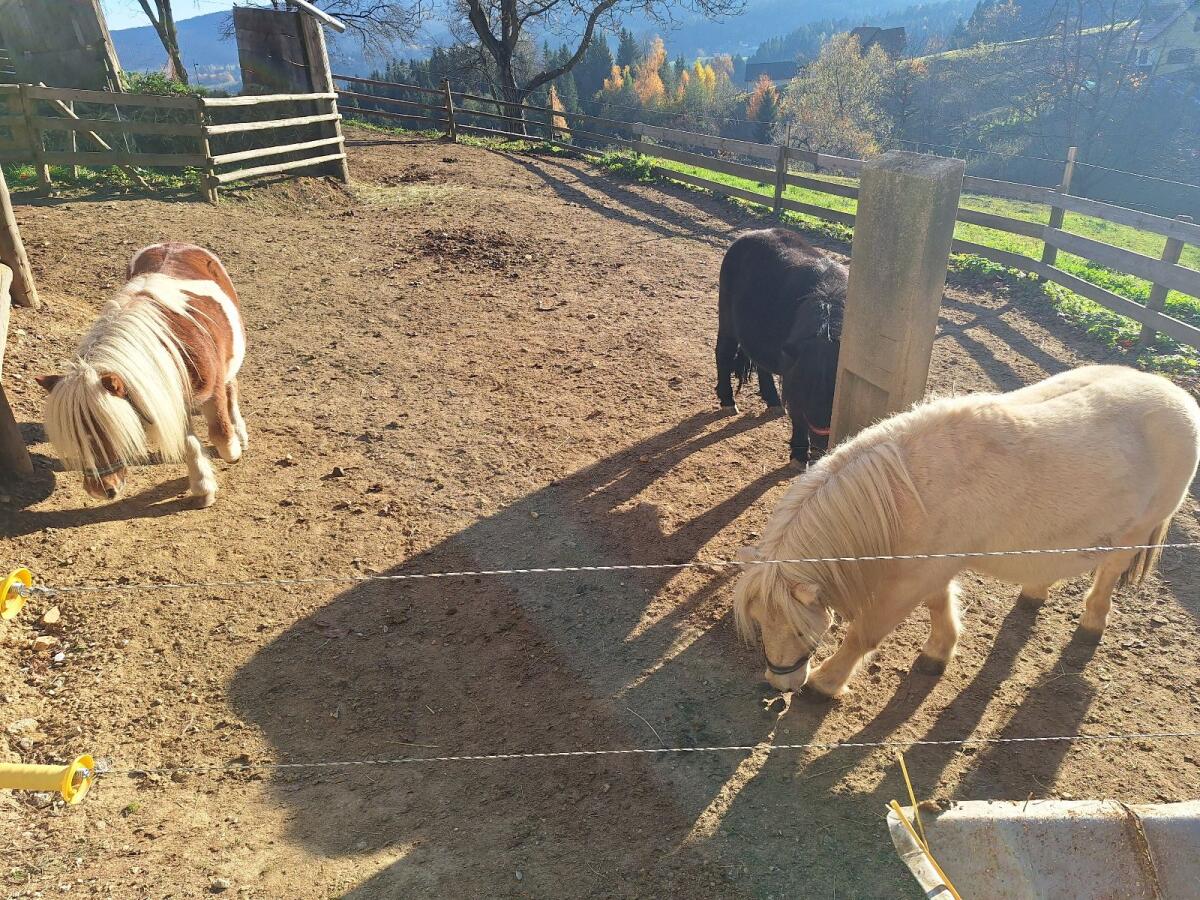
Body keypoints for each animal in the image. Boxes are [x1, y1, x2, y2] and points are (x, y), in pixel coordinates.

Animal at [36, 242, 247, 508]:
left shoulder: (212, 392)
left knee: (232, 386)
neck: (171, 347)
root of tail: (174, 243)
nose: (100, 490)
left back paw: (240, 433)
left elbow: (220, 434)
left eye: (107, 430)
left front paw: (232, 451)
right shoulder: (164, 399)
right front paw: (202, 487)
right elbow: (188, 442)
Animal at [715, 228, 845, 468]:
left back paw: (773, 400)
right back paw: (728, 401)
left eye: (836, 387)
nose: (821, 442)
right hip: (727, 320)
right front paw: (799, 456)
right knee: (723, 352)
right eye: (804, 386)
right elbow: (798, 415)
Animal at [732, 365, 1200, 699]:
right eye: (758, 621)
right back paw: (1034, 592)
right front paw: (938, 653)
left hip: (1137, 530)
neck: (907, 489)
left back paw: (1091, 624)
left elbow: (866, 632)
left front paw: (826, 683)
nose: (780, 685)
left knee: (1107, 576)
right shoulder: (929, 568)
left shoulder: (911, 580)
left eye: (799, 630)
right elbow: (940, 606)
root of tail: (1178, 396)